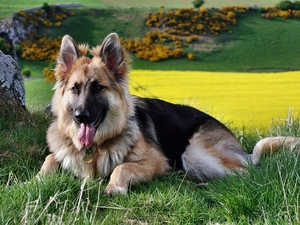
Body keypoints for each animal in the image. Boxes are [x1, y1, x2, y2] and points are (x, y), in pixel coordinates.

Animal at [38, 32, 298, 194]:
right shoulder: (61, 153)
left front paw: (114, 187)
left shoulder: (155, 162)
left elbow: (122, 167)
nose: (80, 116)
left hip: (193, 152)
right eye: (75, 88)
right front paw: (38, 180)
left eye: (97, 87)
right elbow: (50, 158)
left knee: (245, 174)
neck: (95, 147)